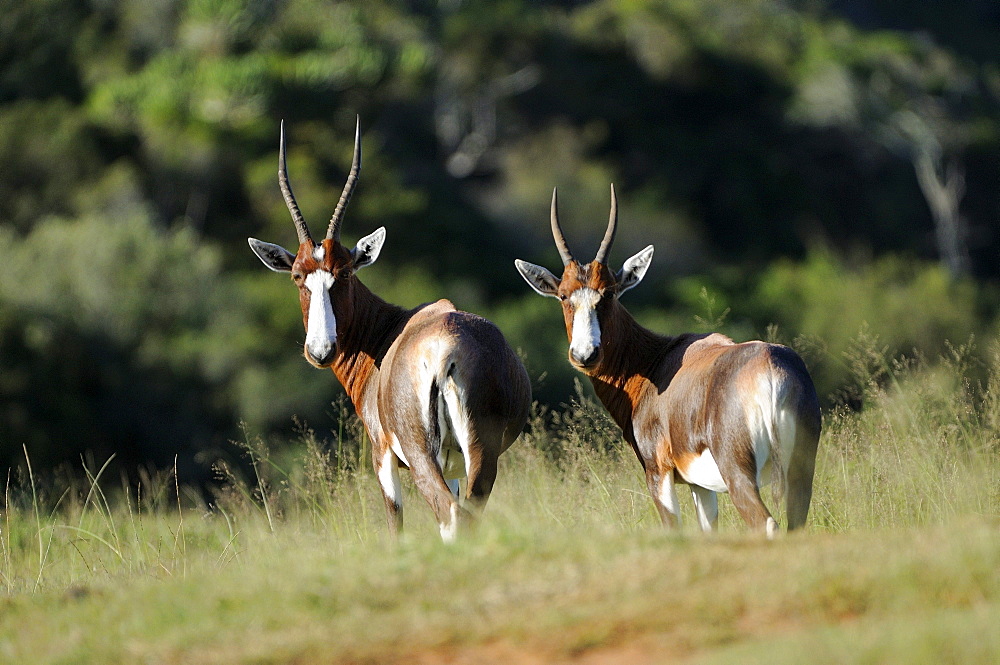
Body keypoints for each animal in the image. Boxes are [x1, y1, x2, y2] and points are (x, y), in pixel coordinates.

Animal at [250, 122, 532, 544]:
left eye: (344, 272)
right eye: (298, 276)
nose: (320, 350)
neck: (388, 330)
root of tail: (446, 350)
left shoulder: (382, 457)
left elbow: (394, 525)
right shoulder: (454, 467)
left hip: (421, 455)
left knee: (448, 515)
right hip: (480, 455)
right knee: (468, 514)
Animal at [516, 185, 820, 536]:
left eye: (609, 292)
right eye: (564, 295)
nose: (585, 354)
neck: (657, 360)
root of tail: (770, 370)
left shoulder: (657, 472)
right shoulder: (700, 485)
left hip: (739, 474)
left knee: (766, 524)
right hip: (800, 472)